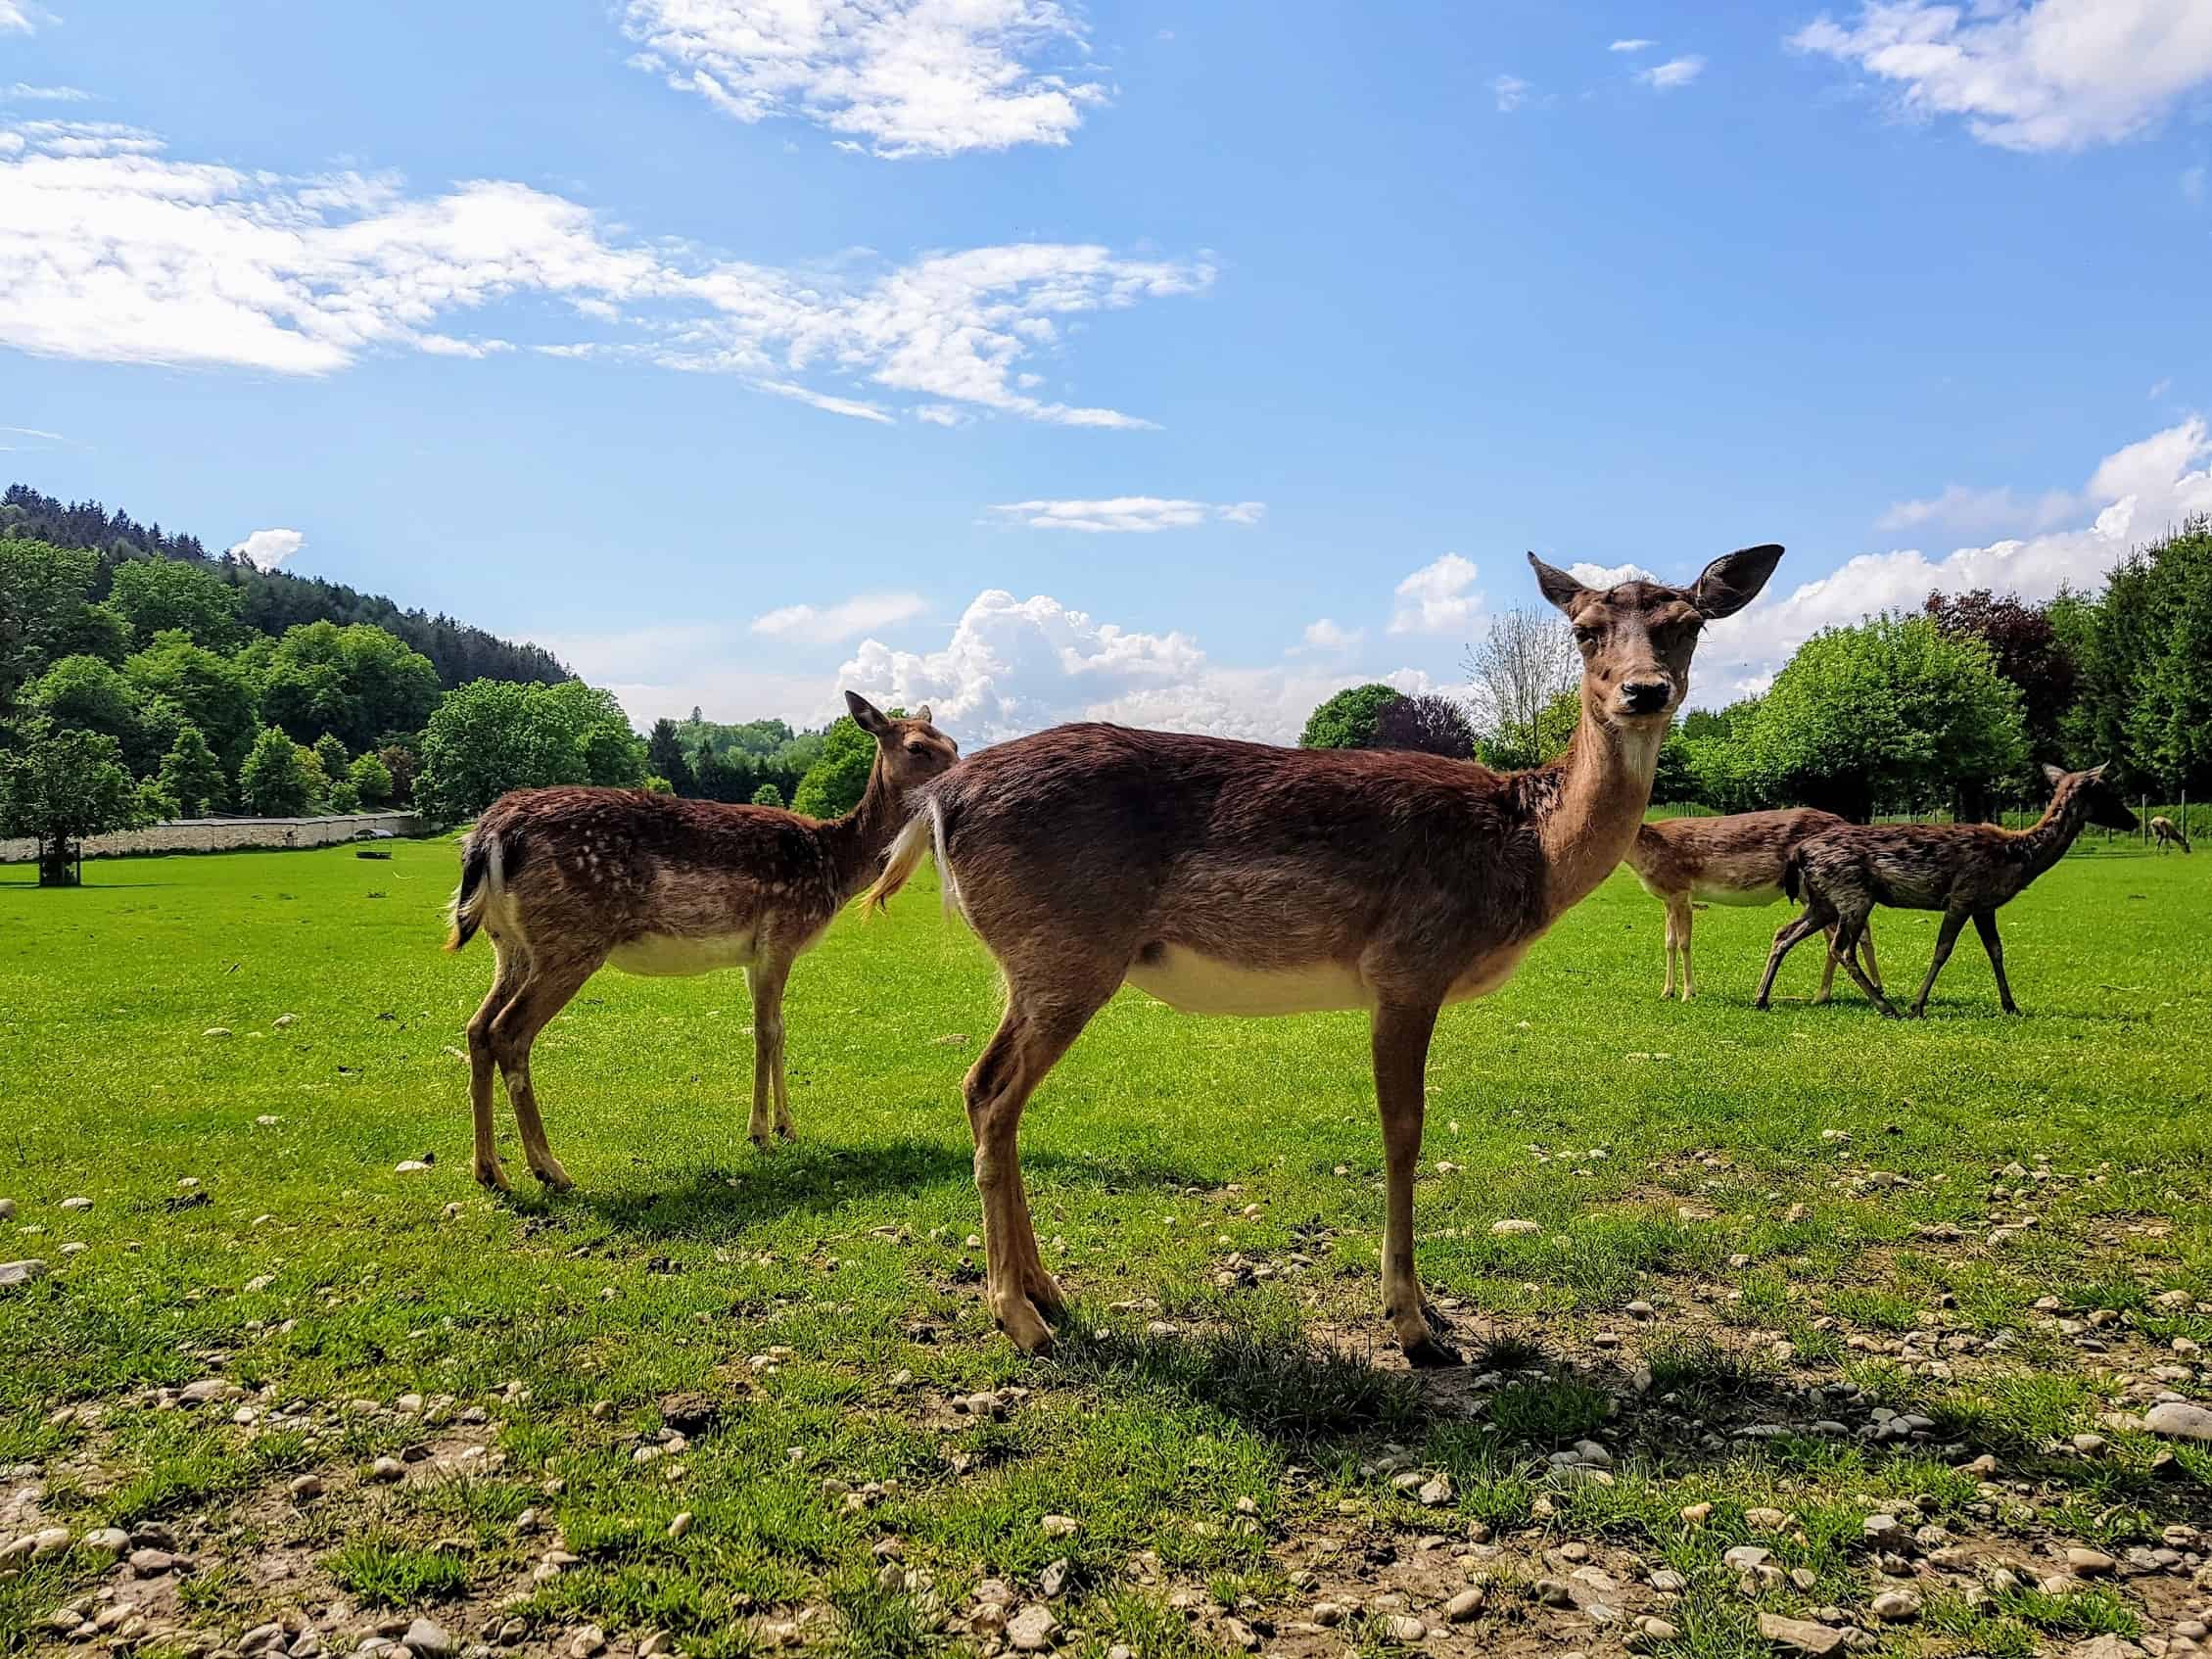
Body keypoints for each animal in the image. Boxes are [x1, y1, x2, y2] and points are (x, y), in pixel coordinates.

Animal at [445, 689, 955, 1194]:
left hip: (509, 945)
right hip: (569, 941)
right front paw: (760, 1133)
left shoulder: (756, 953)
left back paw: (490, 1171)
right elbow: (766, 1031)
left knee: (477, 1027)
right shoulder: (782, 932)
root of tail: (490, 833)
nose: (960, 775)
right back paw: (549, 1169)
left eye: (950, 740)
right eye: (917, 747)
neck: (834, 864)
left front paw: (788, 1127)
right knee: (508, 1032)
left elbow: (780, 1029)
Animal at [863, 545, 1778, 1362]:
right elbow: (1402, 1130)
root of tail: (938, 800)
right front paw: (1414, 1325)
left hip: (1039, 962)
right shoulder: (1408, 965)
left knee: (995, 1097)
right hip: (1063, 951)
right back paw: (1020, 1320)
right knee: (988, 1090)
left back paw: (1046, 1292)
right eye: (1584, 631)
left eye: (1687, 625)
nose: (1643, 690)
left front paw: (1423, 1315)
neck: (1529, 853)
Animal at [1627, 814, 1884, 1008]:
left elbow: (1684, 943)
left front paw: (1688, 993)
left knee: (1844, 933)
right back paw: (1838, 993)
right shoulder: (1667, 899)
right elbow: (1669, 943)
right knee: (1846, 933)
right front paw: (1666, 992)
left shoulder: (1682, 891)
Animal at [1752, 770, 2132, 1026]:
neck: (2016, 859)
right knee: (1842, 947)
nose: (2133, 820)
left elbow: (1996, 950)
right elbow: (1943, 950)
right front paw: (1917, 1005)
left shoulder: (1984, 905)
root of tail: (1799, 852)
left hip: (1823, 901)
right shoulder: (1964, 894)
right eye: (2106, 792)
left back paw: (1762, 998)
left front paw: (2010, 1005)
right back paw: (1886, 1006)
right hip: (1852, 893)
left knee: (1784, 933)